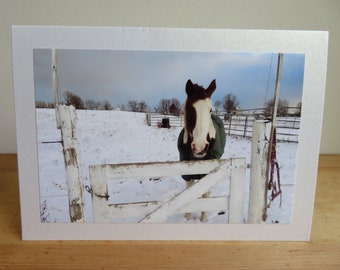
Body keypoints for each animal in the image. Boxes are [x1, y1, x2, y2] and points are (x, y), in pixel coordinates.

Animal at [178, 78, 226, 221]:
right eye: (190, 109)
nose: (199, 147)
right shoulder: (187, 173)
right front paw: (187, 218)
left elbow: (205, 193)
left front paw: (203, 218)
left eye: (210, 110)